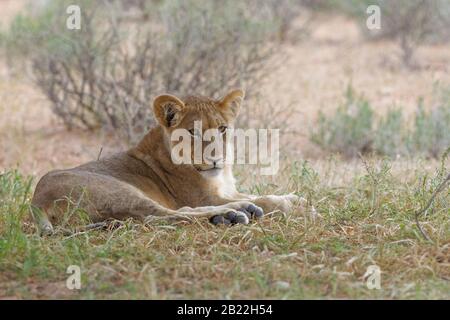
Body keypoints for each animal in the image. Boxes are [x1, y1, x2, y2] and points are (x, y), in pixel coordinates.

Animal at [30, 89, 306, 234]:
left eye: (223, 128)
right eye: (193, 132)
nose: (216, 159)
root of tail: (36, 201)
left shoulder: (226, 190)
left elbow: (257, 193)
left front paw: (294, 198)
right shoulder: (204, 197)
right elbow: (264, 198)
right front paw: (290, 204)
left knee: (176, 212)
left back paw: (233, 213)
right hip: (117, 190)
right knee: (160, 216)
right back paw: (234, 213)